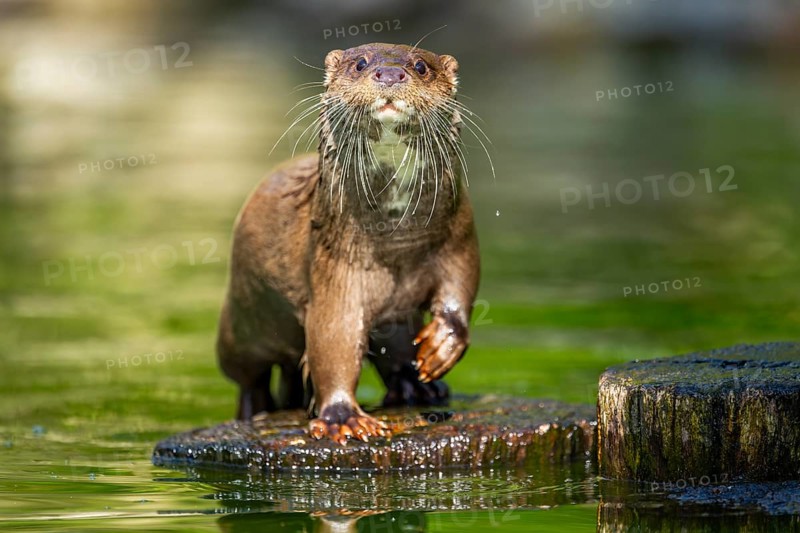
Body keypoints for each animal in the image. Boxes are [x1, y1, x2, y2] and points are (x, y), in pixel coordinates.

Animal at [216, 42, 480, 444]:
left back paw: (419, 387)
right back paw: (254, 412)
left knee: (393, 351)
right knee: (248, 376)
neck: (396, 238)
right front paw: (342, 417)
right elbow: (333, 338)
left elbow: (461, 288)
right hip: (239, 322)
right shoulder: (336, 268)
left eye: (421, 67)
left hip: (395, 318)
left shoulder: (458, 236)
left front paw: (441, 347)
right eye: (360, 64)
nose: (390, 74)